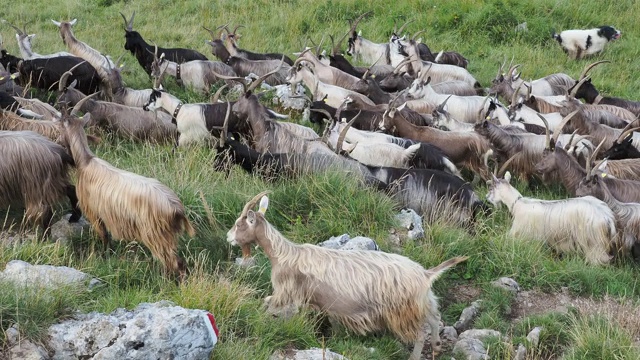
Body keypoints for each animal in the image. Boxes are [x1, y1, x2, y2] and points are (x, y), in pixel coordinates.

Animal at [60, 105, 195, 280]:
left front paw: (105, 255)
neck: (85, 161)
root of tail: (177, 209)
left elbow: (104, 236)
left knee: (175, 263)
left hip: (156, 235)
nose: (58, 141)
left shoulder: (94, 213)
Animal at [228, 191, 468, 360]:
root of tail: (425, 273)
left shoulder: (285, 290)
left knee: (419, 333)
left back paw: (415, 356)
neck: (284, 253)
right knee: (435, 318)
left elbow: (267, 301)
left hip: (402, 309)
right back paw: (437, 344)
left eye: (239, 224)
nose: (229, 237)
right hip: (422, 301)